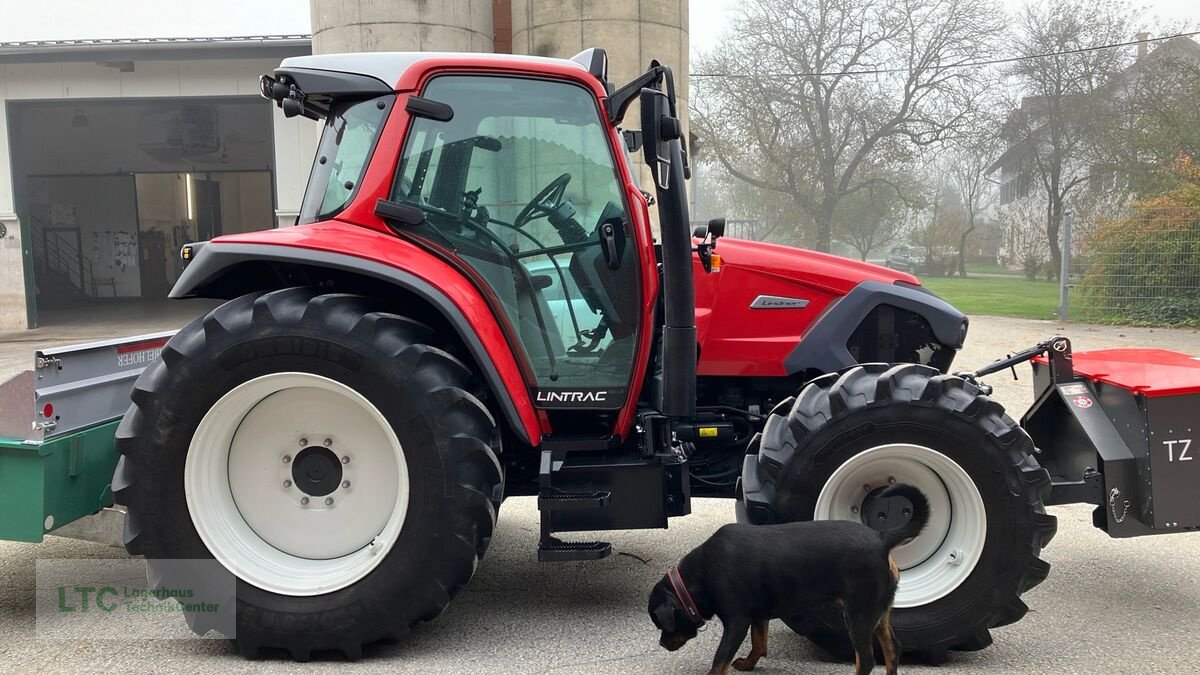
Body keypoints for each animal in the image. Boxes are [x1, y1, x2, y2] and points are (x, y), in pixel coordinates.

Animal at [652, 482, 931, 672]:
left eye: (662, 624)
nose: (662, 644)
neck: (700, 575)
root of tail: (881, 539)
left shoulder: (737, 621)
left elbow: (720, 660)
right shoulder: (758, 614)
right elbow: (759, 643)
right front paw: (749, 663)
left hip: (859, 614)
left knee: (867, 659)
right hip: (878, 610)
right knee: (892, 649)